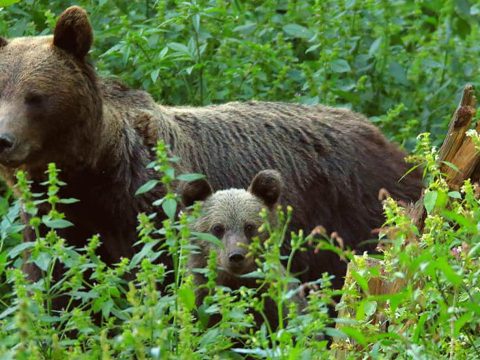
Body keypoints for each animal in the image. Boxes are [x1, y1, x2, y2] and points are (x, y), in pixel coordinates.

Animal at [0, 5, 420, 286]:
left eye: (35, 97)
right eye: (3, 91)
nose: (4, 140)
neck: (93, 172)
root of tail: (388, 140)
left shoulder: (151, 207)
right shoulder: (53, 221)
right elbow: (55, 283)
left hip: (357, 210)